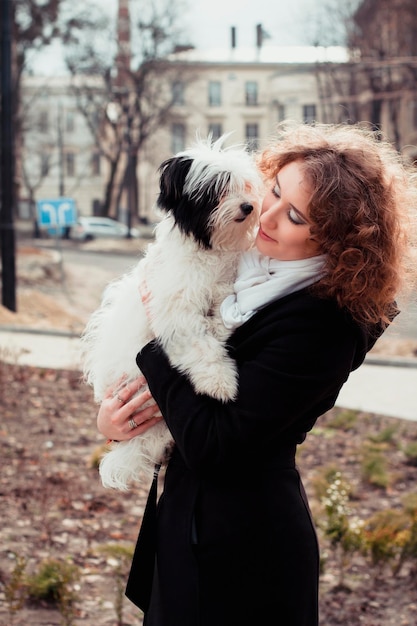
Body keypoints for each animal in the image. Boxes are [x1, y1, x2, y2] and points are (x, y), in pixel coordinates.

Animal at [81, 135, 262, 488]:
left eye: (243, 186)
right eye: (217, 190)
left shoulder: (223, 288)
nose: (248, 206)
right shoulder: (177, 311)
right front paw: (220, 382)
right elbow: (200, 346)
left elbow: (221, 314)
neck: (209, 251)